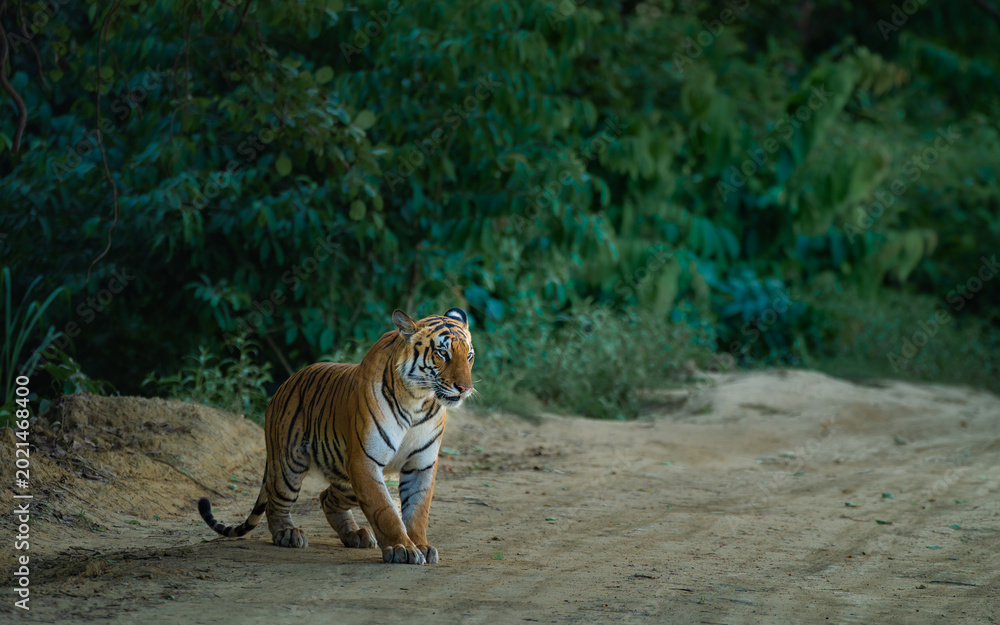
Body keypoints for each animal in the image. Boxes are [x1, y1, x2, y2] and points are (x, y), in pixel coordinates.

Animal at [198, 308, 475, 565]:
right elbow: (384, 510)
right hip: (290, 464)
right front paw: (402, 548)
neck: (418, 401)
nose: (465, 388)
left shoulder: (421, 464)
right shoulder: (365, 461)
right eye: (442, 353)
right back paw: (287, 533)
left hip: (348, 478)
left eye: (469, 356)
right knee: (277, 502)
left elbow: (418, 509)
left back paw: (355, 535)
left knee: (326, 498)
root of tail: (284, 384)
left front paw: (421, 545)